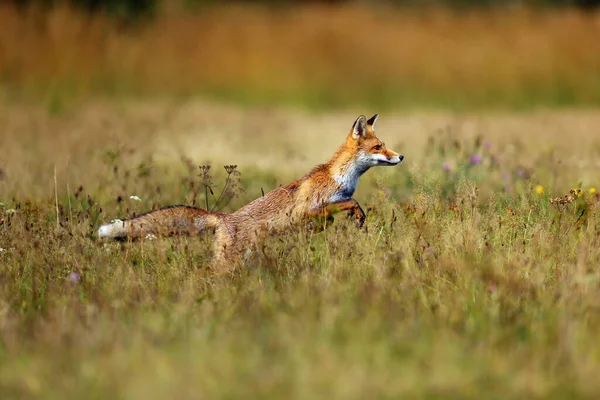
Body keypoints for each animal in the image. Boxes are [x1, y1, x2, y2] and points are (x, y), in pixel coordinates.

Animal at [98, 114, 404, 274]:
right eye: (378, 147)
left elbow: (341, 209)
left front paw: (356, 219)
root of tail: (223, 218)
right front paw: (358, 215)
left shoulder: (316, 217)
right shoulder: (310, 208)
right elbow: (349, 202)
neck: (341, 178)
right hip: (227, 262)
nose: (400, 156)